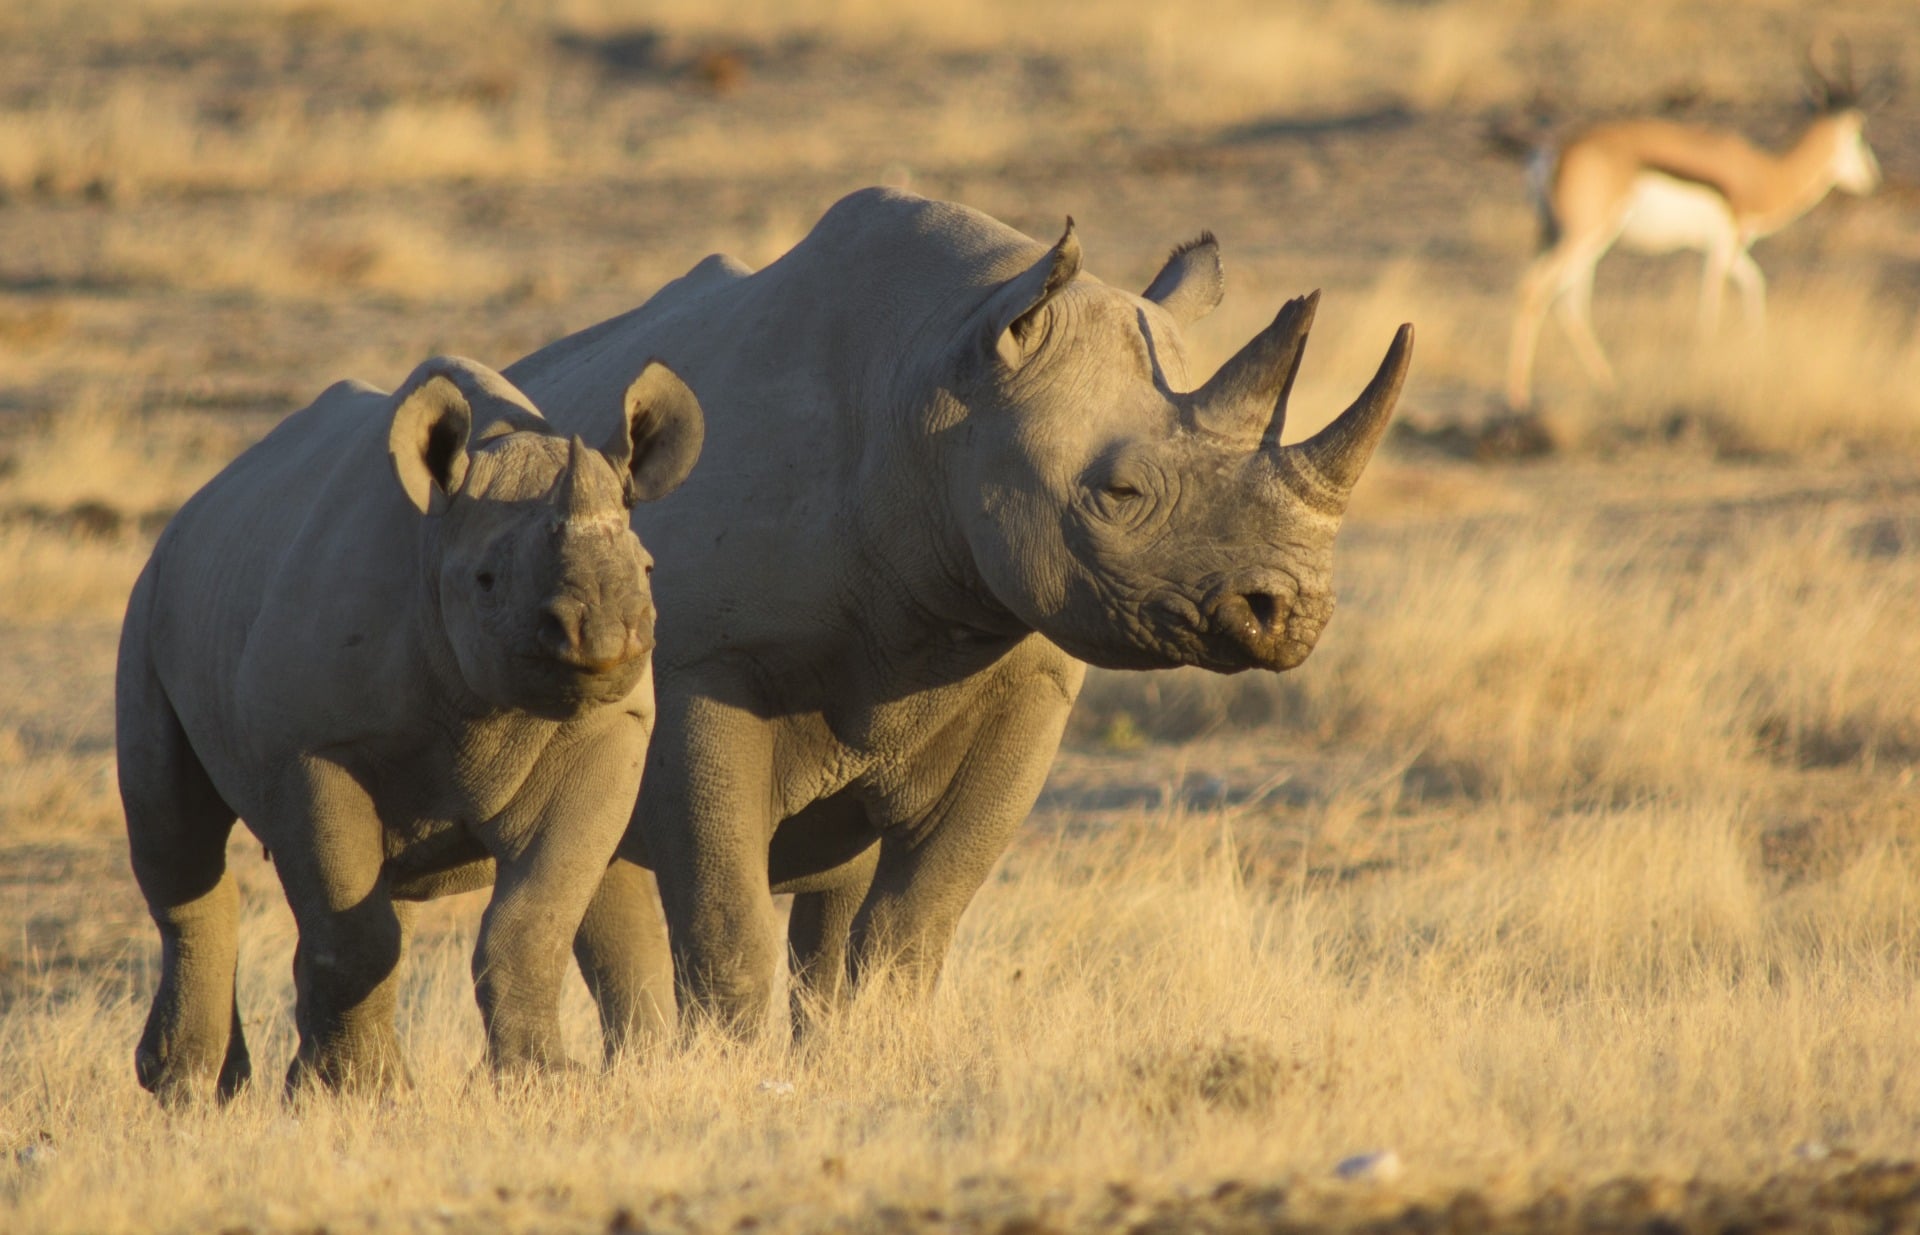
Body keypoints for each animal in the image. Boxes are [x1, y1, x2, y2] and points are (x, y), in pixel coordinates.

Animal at [117, 355, 703, 1101]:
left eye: (649, 568)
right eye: (485, 580)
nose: (601, 635)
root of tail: (191, 510)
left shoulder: (609, 726)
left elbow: (533, 918)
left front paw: (538, 1083)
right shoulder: (315, 749)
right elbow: (357, 933)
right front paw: (357, 1094)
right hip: (149, 600)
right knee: (179, 840)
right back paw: (193, 1090)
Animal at [506, 188, 1411, 1045]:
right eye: (1119, 494)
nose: (1292, 613)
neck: (935, 390)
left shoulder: (1028, 673)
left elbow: (915, 920)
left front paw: (876, 1054)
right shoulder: (704, 668)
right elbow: (725, 921)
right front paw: (722, 1070)